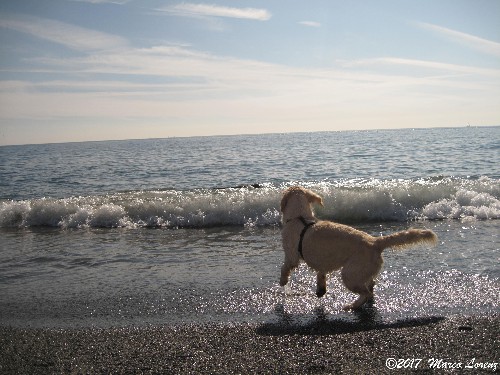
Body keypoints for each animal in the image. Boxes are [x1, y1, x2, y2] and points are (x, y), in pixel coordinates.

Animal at [282, 186, 438, 312]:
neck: (300, 217)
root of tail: (375, 242)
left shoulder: (291, 255)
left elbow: (285, 267)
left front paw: (282, 281)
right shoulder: (322, 261)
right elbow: (321, 273)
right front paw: (321, 290)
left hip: (350, 274)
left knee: (366, 293)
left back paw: (352, 305)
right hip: (362, 271)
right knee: (371, 285)